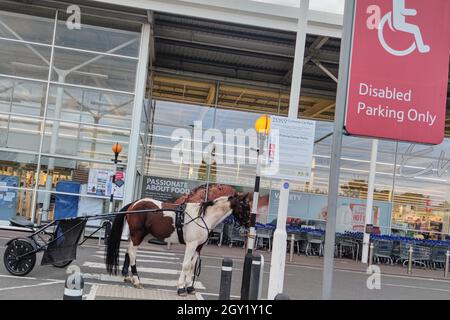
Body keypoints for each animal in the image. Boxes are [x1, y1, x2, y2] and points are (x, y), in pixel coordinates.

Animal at [106, 192, 253, 296]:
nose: (249, 224)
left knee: (128, 251)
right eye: (245, 206)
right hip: (138, 234)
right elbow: (186, 265)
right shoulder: (191, 245)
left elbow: (192, 266)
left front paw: (190, 287)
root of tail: (134, 204)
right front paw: (181, 288)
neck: (203, 217)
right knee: (132, 253)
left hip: (135, 235)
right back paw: (136, 280)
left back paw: (128, 277)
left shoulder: (198, 247)